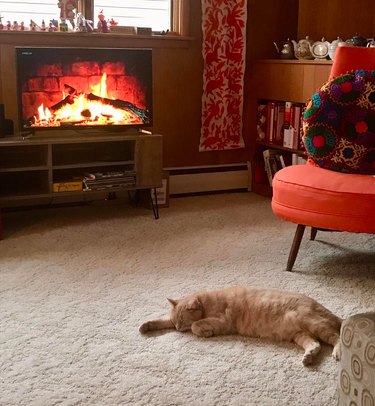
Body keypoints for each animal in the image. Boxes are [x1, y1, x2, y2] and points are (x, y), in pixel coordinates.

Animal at [140, 286, 342, 364]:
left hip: (315, 325)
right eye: (176, 322)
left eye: (182, 321)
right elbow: (161, 320)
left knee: (336, 337)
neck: (207, 303)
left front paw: (205, 332)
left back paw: (337, 352)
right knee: (315, 345)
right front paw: (146, 325)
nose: (178, 329)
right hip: (300, 335)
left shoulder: (223, 321)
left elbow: (196, 325)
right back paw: (309, 357)